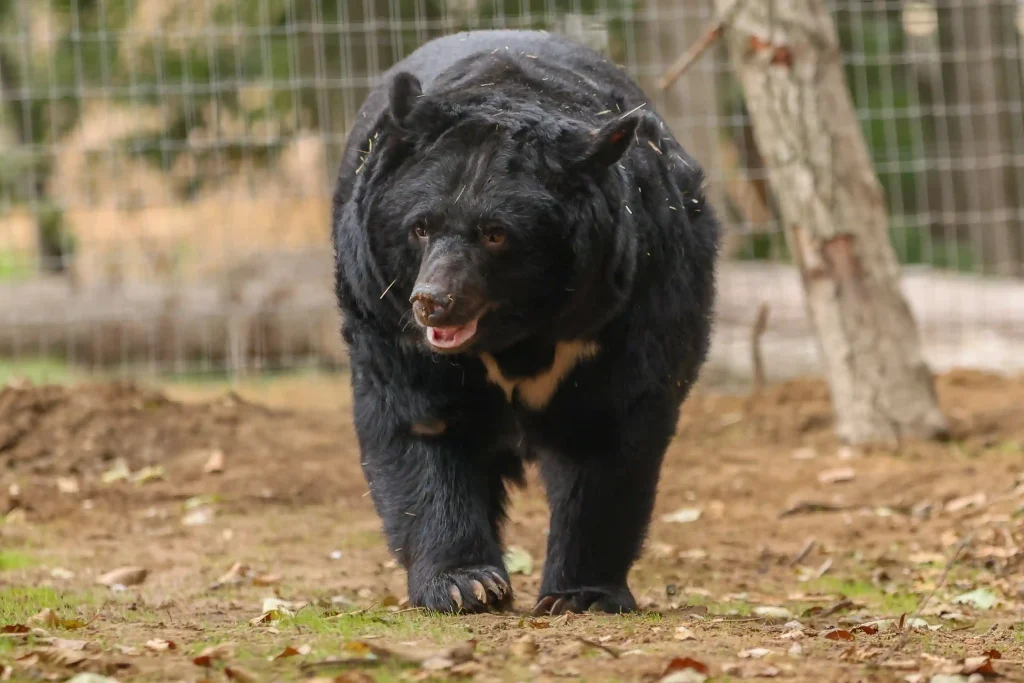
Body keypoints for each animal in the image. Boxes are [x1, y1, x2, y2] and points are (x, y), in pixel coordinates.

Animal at [331, 29, 719, 616]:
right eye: (420, 227)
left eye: (496, 234)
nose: (434, 303)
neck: (519, 335)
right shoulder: (383, 309)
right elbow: (420, 423)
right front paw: (464, 583)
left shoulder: (633, 304)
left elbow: (608, 437)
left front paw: (581, 594)